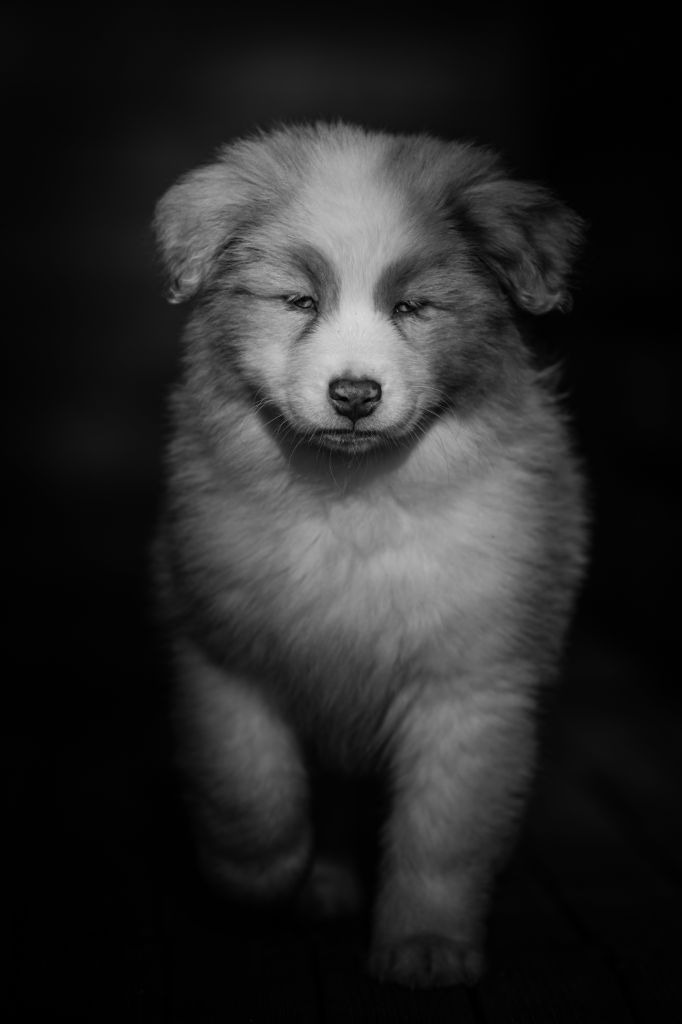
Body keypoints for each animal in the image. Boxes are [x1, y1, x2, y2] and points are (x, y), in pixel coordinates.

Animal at [151, 123, 585, 987]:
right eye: (299, 302)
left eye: (413, 308)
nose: (354, 395)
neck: (351, 498)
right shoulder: (221, 652)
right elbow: (249, 787)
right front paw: (257, 880)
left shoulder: (470, 685)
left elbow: (443, 834)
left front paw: (426, 946)